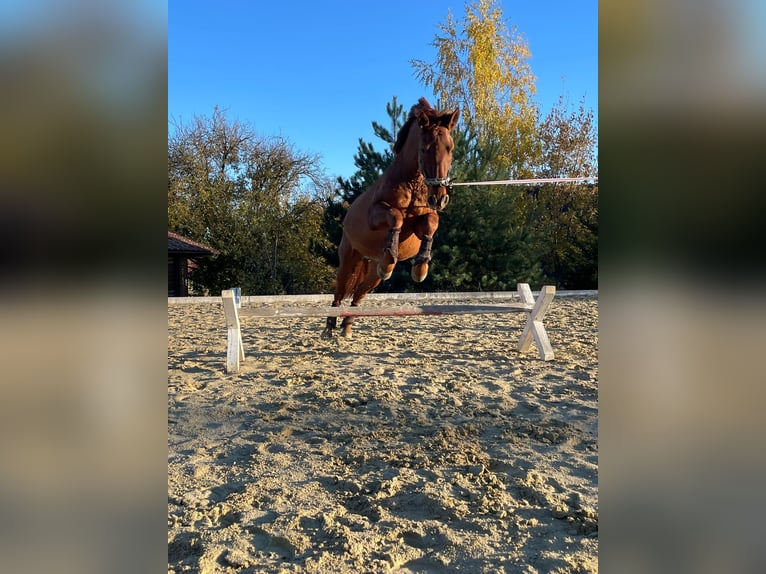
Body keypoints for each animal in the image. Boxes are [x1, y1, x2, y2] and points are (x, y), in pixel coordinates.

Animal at [322, 97, 460, 337]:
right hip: (349, 258)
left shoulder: (423, 219)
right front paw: (393, 260)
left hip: (373, 274)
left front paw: (420, 267)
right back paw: (330, 325)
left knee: (359, 293)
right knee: (339, 292)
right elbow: (396, 216)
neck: (412, 183)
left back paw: (347, 325)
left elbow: (431, 224)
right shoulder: (377, 215)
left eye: (449, 148)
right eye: (424, 149)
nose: (440, 198)